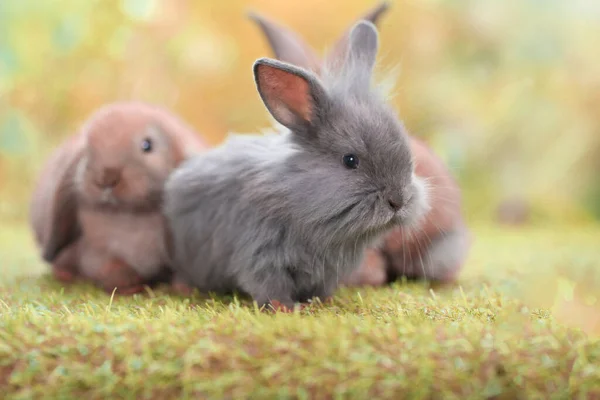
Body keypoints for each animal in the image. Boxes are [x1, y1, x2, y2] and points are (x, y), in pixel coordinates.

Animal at [30, 101, 209, 294]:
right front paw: (130, 285)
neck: (131, 216)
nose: (105, 178)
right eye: (87, 149)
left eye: (147, 145)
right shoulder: (96, 252)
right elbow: (110, 267)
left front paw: (185, 289)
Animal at [162, 20, 428, 310]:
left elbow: (321, 288)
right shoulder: (261, 255)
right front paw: (286, 308)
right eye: (350, 160)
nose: (398, 200)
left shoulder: (329, 270)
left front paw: (323, 301)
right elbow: (269, 286)